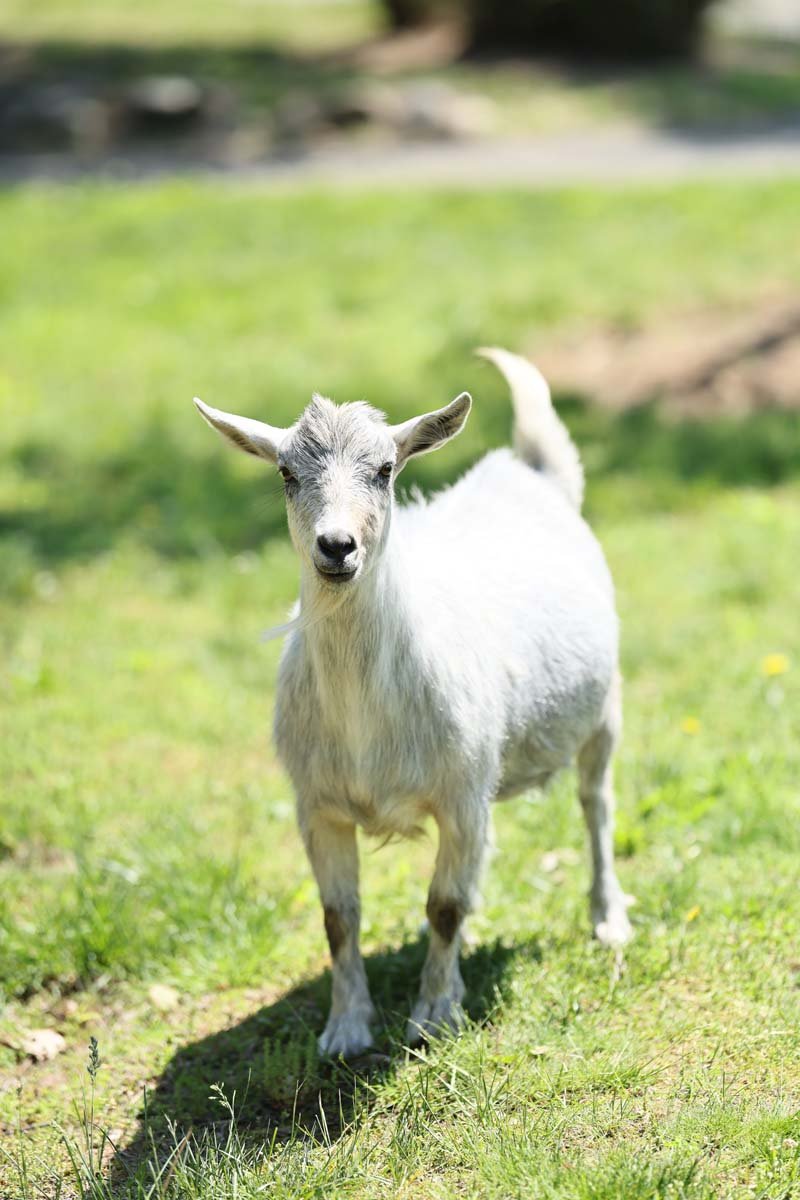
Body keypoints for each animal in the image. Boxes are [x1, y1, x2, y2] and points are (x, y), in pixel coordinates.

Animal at [194, 348, 632, 1058]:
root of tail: (526, 471)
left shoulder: (460, 797)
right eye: (286, 473)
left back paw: (608, 917)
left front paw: (433, 1015)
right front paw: (346, 1028)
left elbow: (443, 907)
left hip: (603, 711)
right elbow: (339, 918)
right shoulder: (317, 805)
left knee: (596, 805)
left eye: (384, 470)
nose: (336, 546)